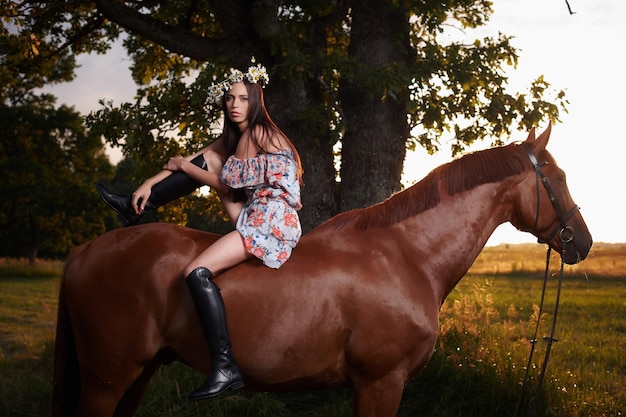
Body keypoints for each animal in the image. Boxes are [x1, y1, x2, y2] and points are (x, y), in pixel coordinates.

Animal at [53, 124, 588, 416]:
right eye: (559, 178)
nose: (581, 242)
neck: (406, 256)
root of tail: (84, 250)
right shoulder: (382, 383)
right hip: (106, 380)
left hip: (137, 375)